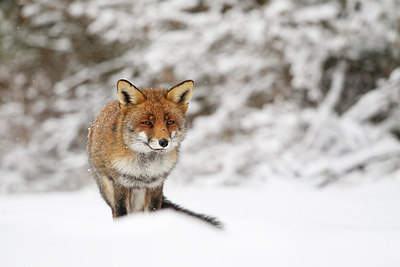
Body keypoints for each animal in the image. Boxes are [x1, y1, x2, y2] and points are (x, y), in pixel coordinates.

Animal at [86, 80, 222, 228]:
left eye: (170, 122)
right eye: (146, 122)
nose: (164, 142)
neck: (145, 169)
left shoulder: (155, 183)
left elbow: (154, 211)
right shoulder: (121, 182)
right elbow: (121, 212)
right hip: (109, 190)